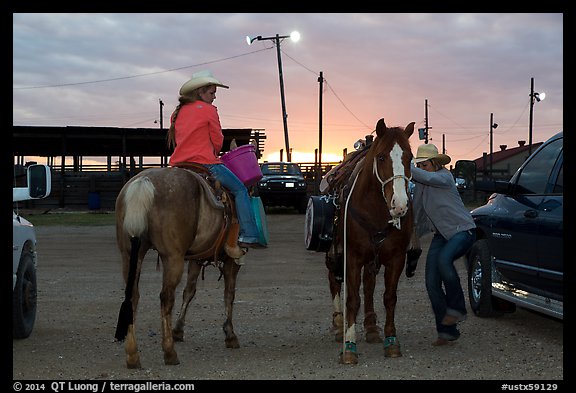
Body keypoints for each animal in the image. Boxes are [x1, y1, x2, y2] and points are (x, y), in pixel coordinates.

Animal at [114, 165, 245, 368]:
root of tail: (143, 183)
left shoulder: (195, 259)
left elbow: (189, 291)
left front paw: (178, 330)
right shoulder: (231, 262)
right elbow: (229, 294)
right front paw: (230, 334)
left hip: (130, 255)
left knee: (133, 296)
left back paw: (133, 355)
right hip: (172, 258)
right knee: (166, 297)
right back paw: (169, 352)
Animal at [324, 117, 414, 364]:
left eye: (410, 158)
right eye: (381, 157)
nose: (399, 204)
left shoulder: (396, 257)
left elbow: (389, 297)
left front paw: (392, 342)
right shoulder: (352, 257)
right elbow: (352, 298)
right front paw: (349, 346)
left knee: (370, 285)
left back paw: (372, 327)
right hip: (335, 252)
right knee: (334, 280)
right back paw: (338, 324)